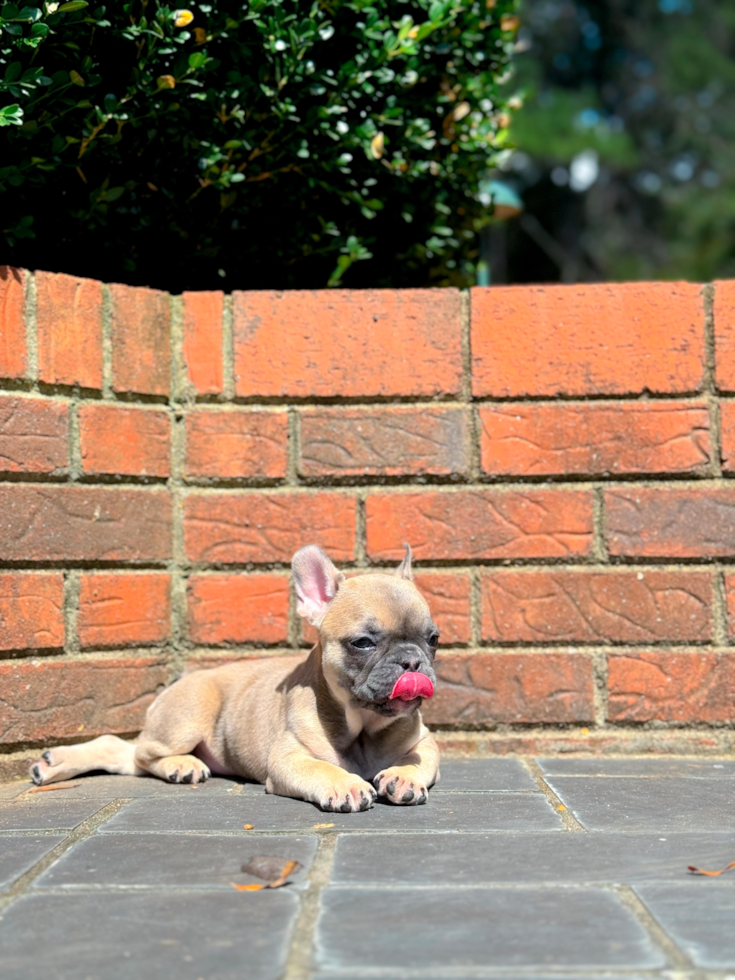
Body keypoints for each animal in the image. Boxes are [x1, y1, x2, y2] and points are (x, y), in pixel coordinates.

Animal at [28, 544, 440, 812]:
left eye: (433, 639)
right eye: (363, 643)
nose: (411, 661)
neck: (363, 725)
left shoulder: (424, 742)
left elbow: (419, 759)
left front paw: (405, 777)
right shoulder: (289, 758)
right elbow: (320, 766)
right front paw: (346, 784)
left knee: (124, 755)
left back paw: (54, 764)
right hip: (190, 714)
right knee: (142, 754)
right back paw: (181, 765)